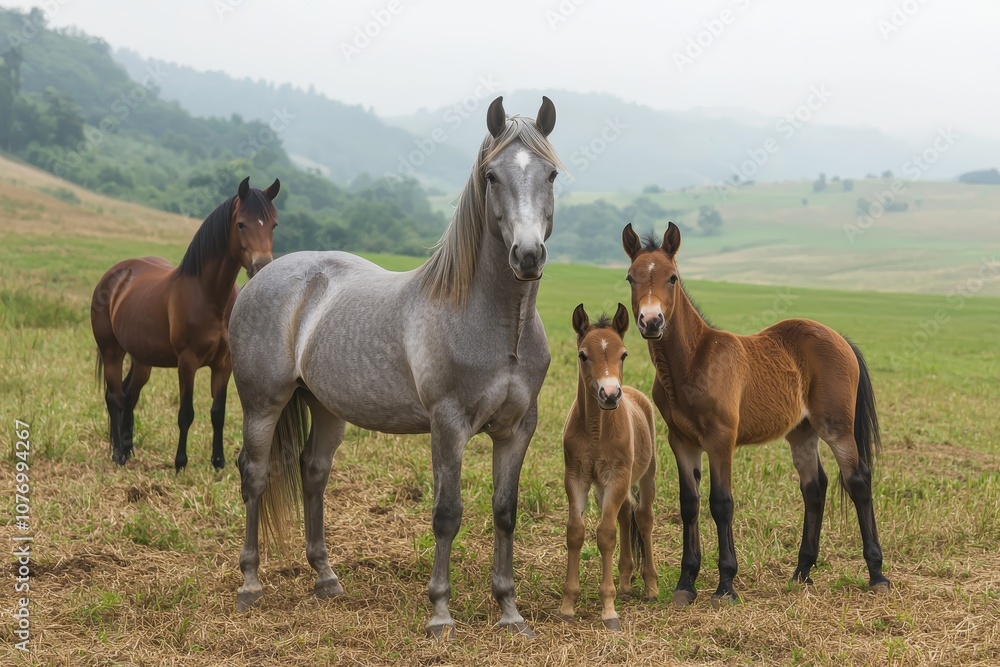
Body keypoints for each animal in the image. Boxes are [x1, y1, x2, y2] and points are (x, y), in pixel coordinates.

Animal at [91, 177, 279, 472]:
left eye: (273, 225)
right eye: (241, 224)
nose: (262, 267)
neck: (209, 296)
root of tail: (116, 275)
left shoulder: (224, 364)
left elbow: (217, 412)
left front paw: (218, 462)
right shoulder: (187, 362)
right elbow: (186, 413)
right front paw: (180, 463)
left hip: (142, 359)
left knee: (129, 394)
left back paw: (129, 449)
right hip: (112, 351)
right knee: (115, 397)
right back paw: (118, 454)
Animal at [227, 96, 560, 639]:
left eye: (550, 174)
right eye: (491, 176)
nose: (528, 255)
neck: (495, 324)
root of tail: (265, 274)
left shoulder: (517, 428)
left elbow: (505, 512)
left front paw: (510, 612)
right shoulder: (448, 425)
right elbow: (447, 514)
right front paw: (440, 613)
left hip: (326, 407)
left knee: (313, 472)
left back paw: (326, 578)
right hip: (262, 403)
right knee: (254, 475)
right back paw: (250, 584)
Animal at [557, 303, 658, 630]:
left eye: (623, 354)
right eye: (582, 355)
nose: (611, 394)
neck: (596, 430)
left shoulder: (618, 475)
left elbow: (605, 534)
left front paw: (609, 610)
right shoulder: (576, 476)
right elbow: (576, 531)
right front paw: (568, 604)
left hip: (646, 474)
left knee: (643, 517)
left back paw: (650, 587)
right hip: (604, 486)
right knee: (626, 513)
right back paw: (625, 583)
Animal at [621, 222, 890, 608]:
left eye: (672, 277)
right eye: (631, 277)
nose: (651, 321)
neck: (693, 362)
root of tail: (839, 338)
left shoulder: (721, 439)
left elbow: (721, 503)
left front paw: (725, 585)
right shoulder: (682, 441)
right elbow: (690, 504)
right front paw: (686, 584)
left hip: (836, 427)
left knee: (858, 480)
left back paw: (877, 574)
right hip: (802, 432)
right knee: (814, 486)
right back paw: (801, 572)